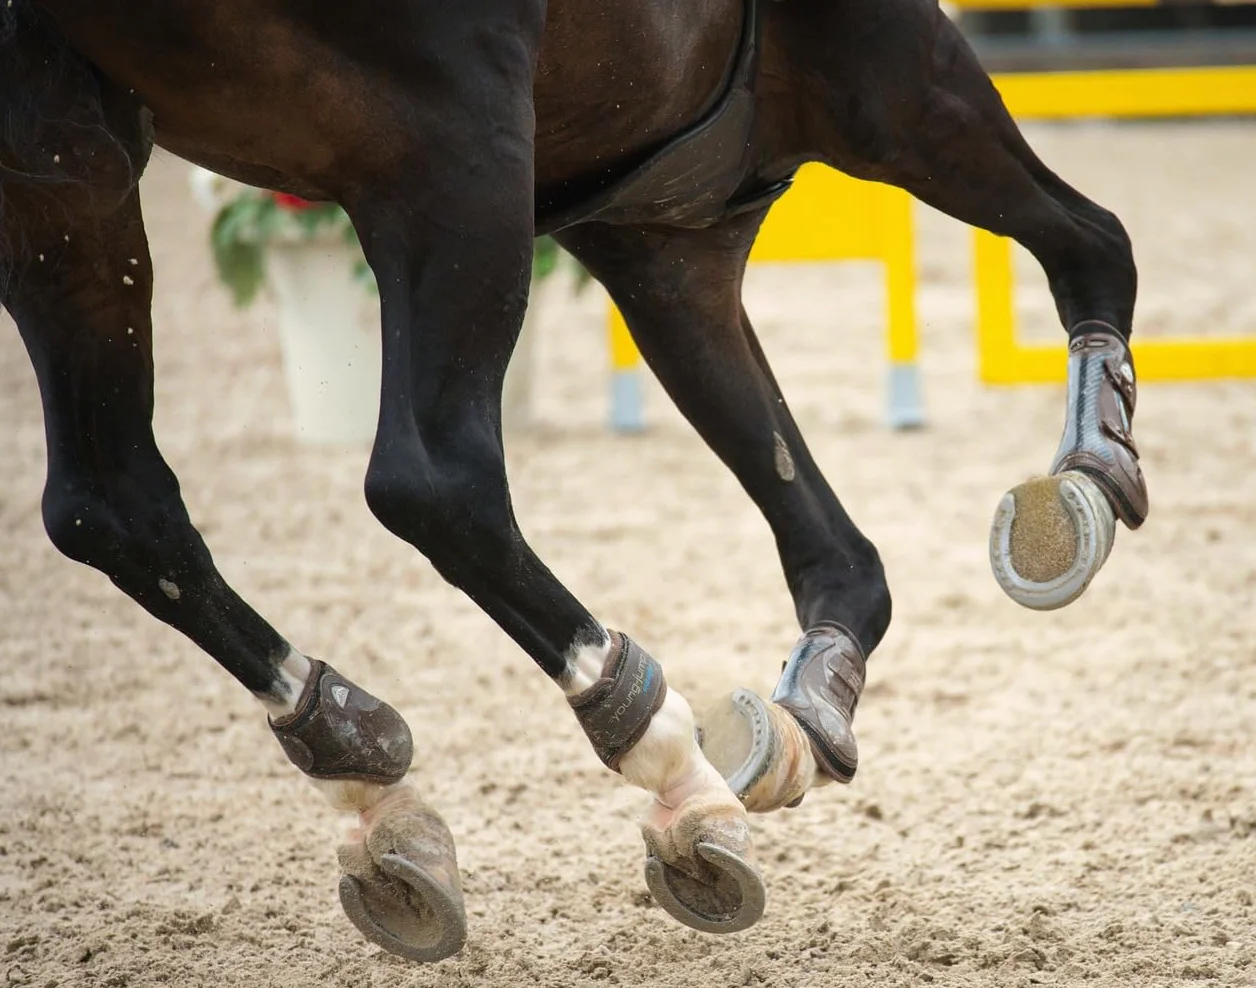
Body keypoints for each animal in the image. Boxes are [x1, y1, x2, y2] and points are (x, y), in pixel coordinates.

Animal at [0, 0, 1147, 963]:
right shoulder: (872, 67)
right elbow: (1092, 245)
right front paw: (1086, 480)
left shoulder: (661, 239)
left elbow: (829, 540)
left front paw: (808, 710)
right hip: (453, 140)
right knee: (431, 481)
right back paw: (657, 754)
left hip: (69, 166)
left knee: (112, 506)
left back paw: (355, 761)